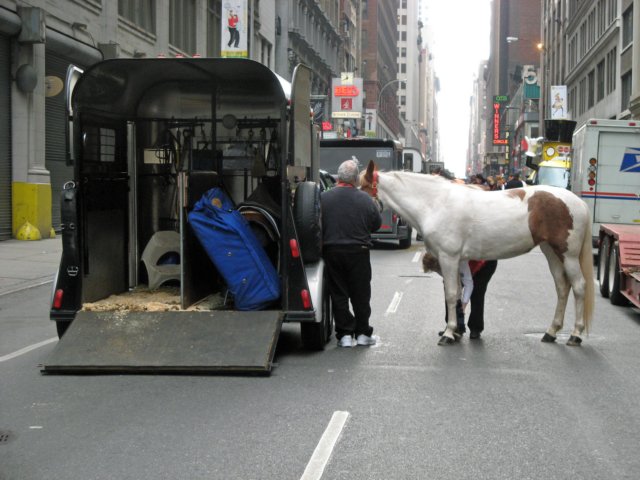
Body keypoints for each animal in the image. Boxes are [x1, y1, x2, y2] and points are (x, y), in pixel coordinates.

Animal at [360, 160, 596, 344]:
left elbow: (451, 294)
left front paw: (448, 333)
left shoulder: (448, 257)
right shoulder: (456, 261)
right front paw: (455, 332)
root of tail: (578, 202)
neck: (435, 203)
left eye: (361, 188)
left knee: (579, 286)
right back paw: (551, 331)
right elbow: (457, 295)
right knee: (562, 287)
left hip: (569, 255)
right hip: (551, 252)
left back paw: (575, 334)